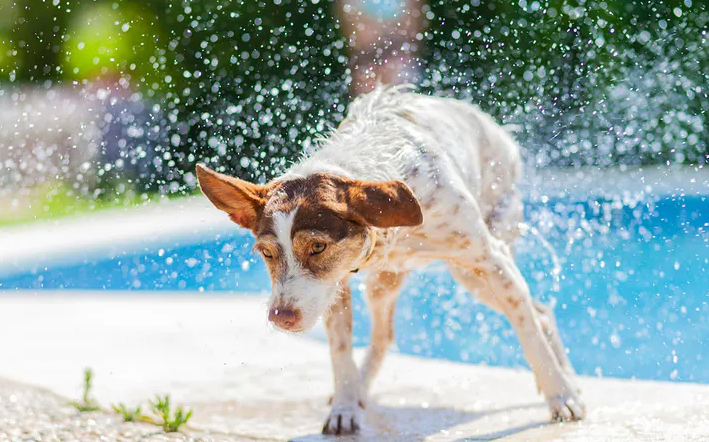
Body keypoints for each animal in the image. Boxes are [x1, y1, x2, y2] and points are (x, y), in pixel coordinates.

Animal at [196, 85, 584, 436]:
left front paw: (561, 396)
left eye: (317, 247)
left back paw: (567, 379)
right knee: (384, 336)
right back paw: (360, 389)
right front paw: (345, 406)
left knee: (538, 313)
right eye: (266, 253)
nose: (281, 317)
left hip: (474, 270)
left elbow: (529, 332)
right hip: (388, 284)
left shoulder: (491, 261)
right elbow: (341, 352)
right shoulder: (335, 285)